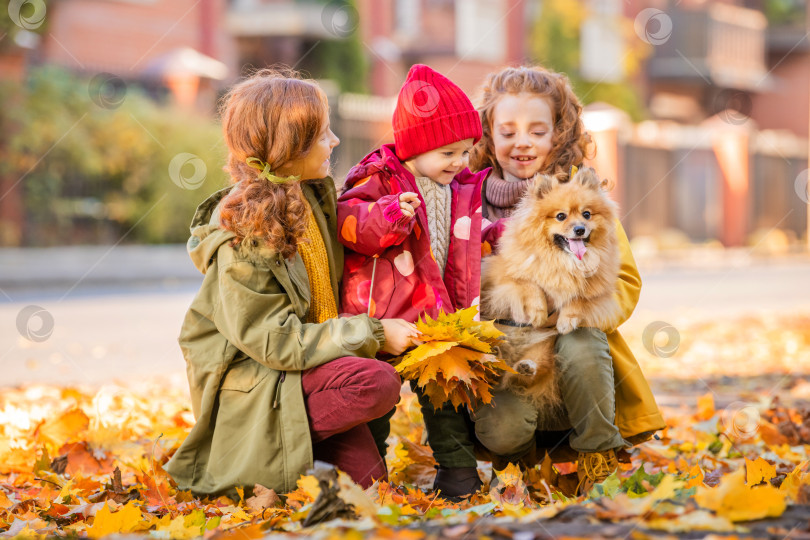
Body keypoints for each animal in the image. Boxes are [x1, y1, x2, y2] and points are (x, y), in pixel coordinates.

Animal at [482, 167, 620, 412]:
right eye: (561, 216)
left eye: (587, 214)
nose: (580, 229)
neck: (563, 260)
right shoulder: (503, 277)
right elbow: (530, 284)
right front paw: (538, 313)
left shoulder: (599, 290)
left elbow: (578, 297)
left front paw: (566, 320)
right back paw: (496, 354)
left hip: (542, 350)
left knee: (520, 375)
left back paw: (523, 366)